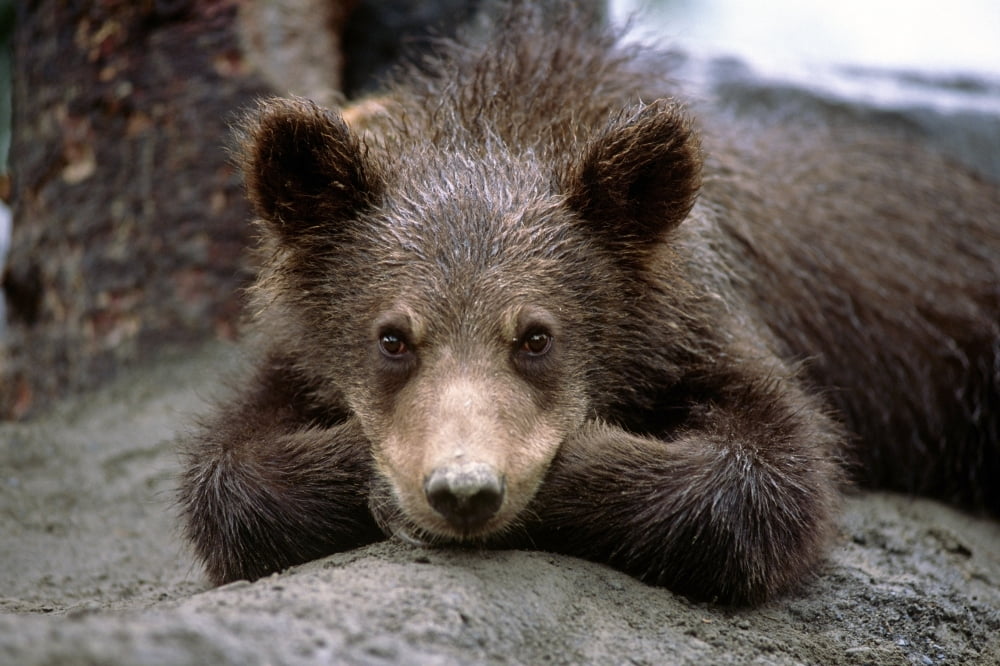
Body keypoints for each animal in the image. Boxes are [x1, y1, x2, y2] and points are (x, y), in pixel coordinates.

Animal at [178, 4, 1000, 605]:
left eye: (536, 337)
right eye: (393, 338)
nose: (464, 490)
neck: (505, 123)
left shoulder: (707, 320)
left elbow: (771, 478)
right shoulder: (296, 352)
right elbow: (228, 471)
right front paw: (364, 474)